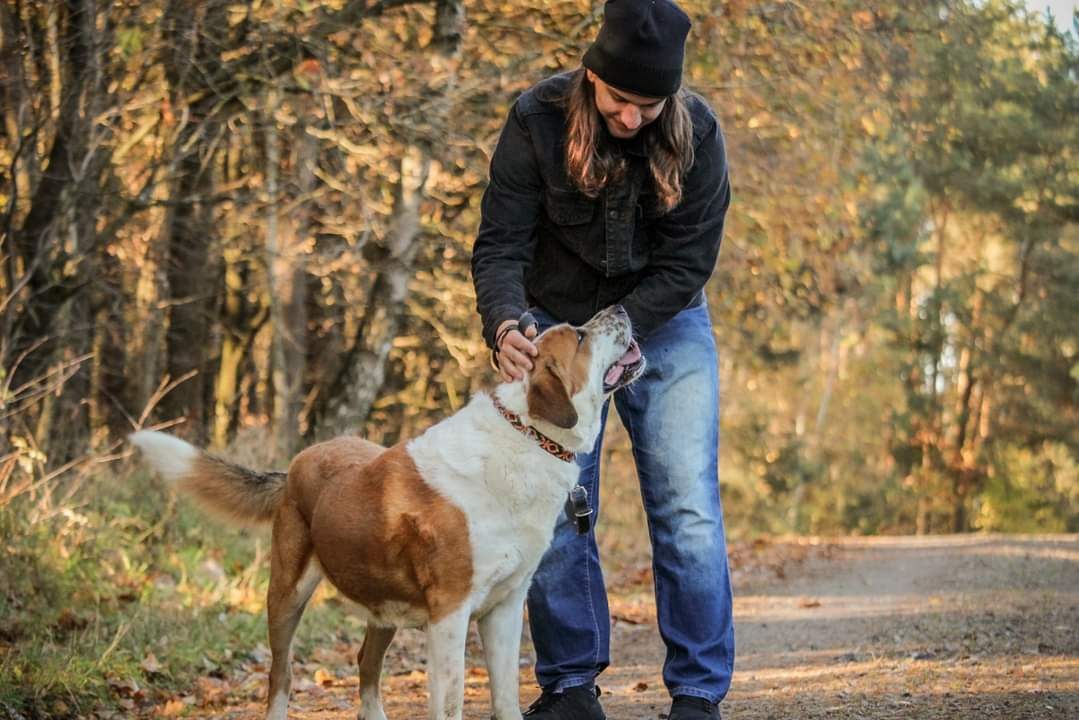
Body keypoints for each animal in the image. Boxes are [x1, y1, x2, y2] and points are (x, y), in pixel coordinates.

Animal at [130, 304, 643, 720]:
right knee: (281, 675)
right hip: (287, 594)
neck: (526, 434)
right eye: (580, 336)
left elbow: (506, 701)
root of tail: (298, 461)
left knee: (366, 666)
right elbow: (451, 703)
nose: (621, 306)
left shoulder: (504, 609)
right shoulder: (450, 613)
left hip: (384, 605)